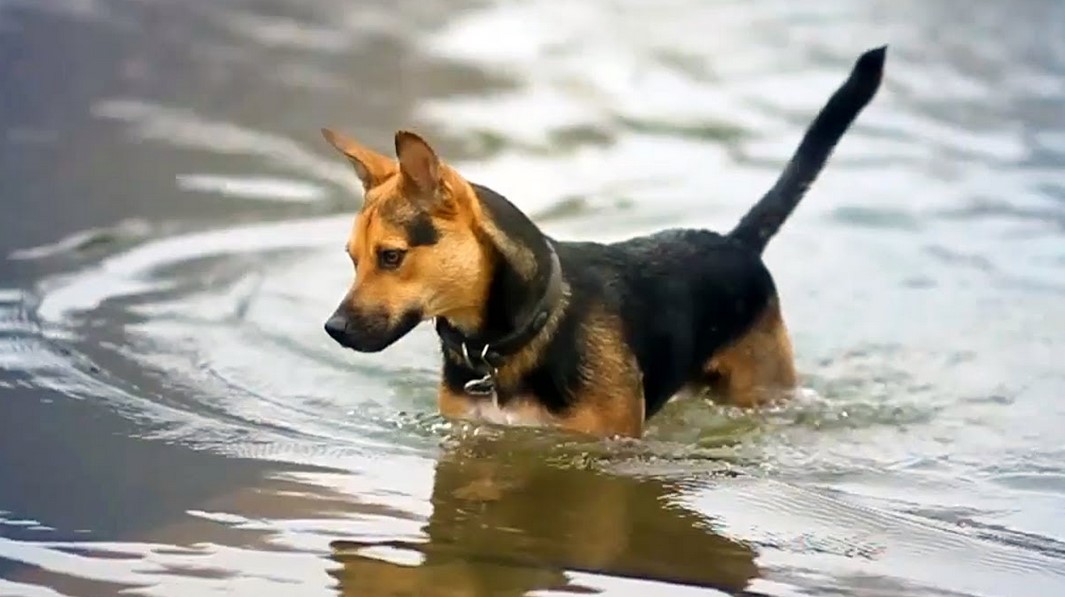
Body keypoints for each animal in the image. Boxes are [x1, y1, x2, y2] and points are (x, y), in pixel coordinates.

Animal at [319, 45, 886, 438]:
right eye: (350, 259)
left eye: (391, 256)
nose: (333, 329)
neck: (515, 334)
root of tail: (737, 241)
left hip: (761, 388)